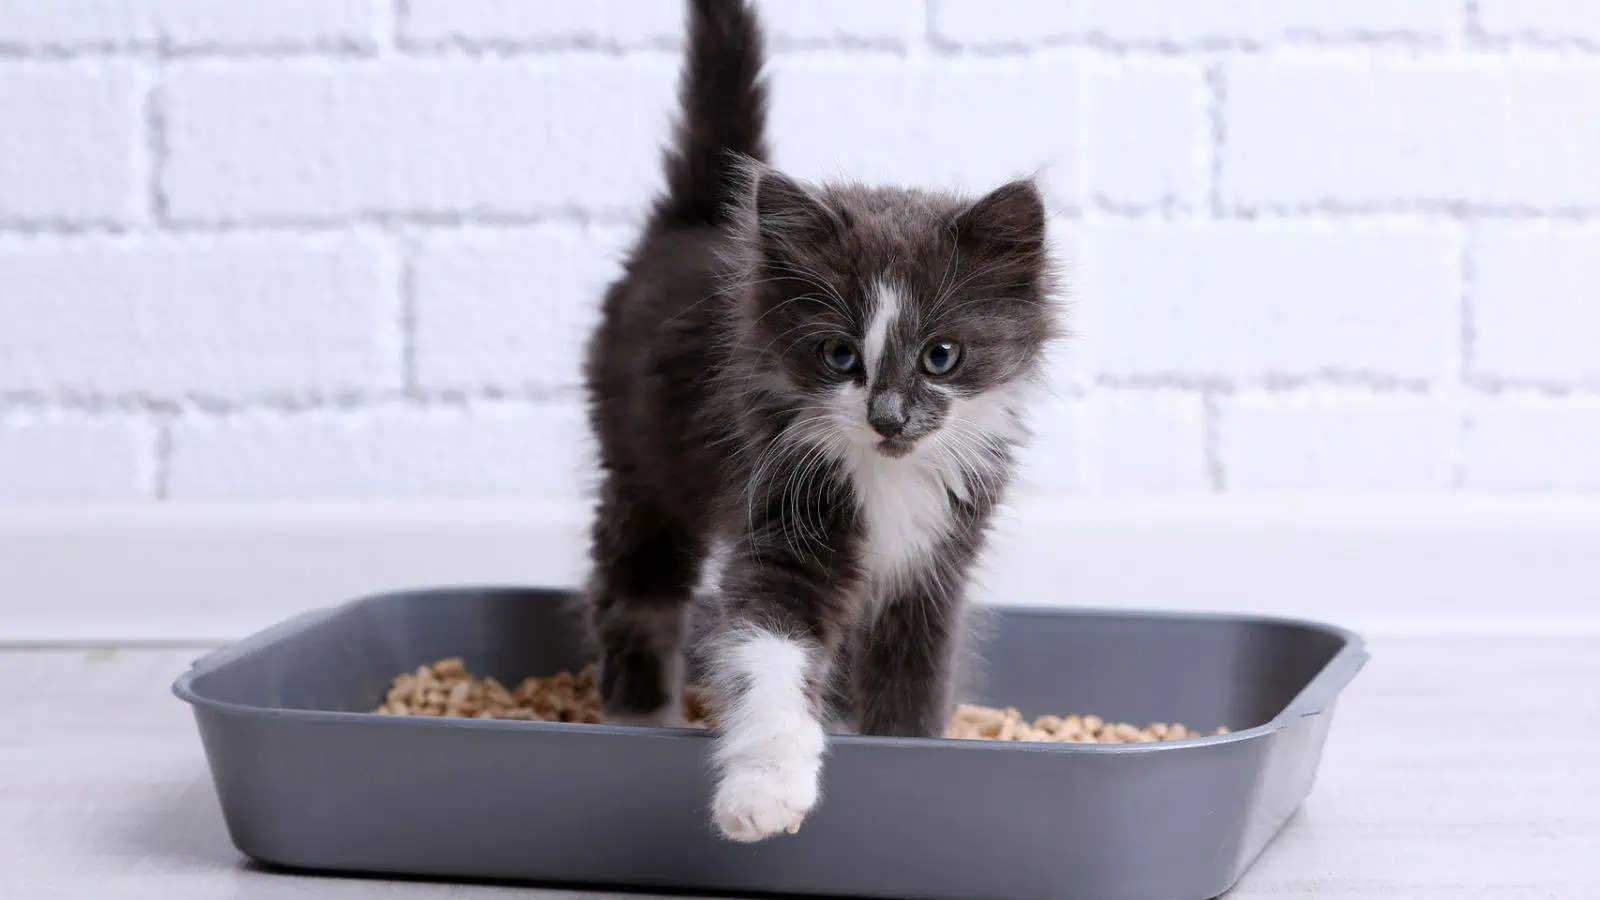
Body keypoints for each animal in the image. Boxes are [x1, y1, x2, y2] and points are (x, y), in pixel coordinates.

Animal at [582, 0, 1056, 839]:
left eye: (941, 356)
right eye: (838, 355)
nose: (888, 416)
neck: (889, 478)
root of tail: (694, 220)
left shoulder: (934, 572)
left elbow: (912, 684)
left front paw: (911, 758)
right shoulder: (783, 522)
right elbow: (768, 655)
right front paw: (763, 792)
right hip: (641, 468)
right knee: (633, 594)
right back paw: (639, 714)